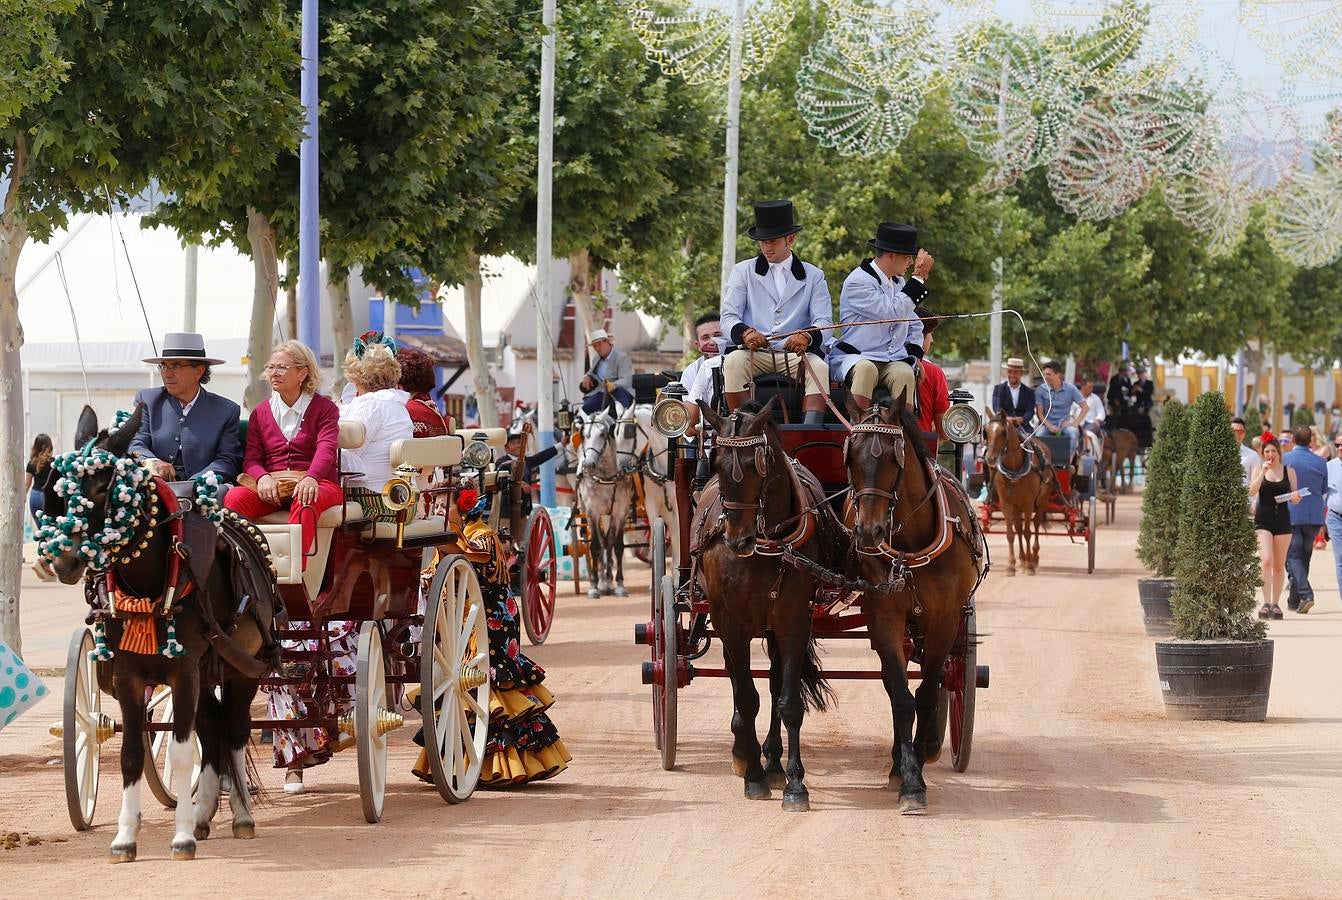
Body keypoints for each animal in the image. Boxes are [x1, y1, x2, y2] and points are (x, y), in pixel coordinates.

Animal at [577, 407, 638, 598]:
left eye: (603, 434)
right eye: (584, 435)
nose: (589, 464)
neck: (606, 478)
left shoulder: (620, 511)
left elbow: (617, 545)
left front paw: (619, 584)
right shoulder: (592, 511)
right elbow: (596, 546)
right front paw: (595, 586)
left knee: (609, 543)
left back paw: (609, 581)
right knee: (602, 544)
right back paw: (603, 582)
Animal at [697, 397, 842, 815]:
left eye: (758, 463)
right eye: (715, 461)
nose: (737, 540)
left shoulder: (792, 622)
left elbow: (788, 702)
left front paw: (794, 783)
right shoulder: (730, 625)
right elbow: (747, 699)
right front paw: (753, 776)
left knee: (777, 684)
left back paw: (774, 762)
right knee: (739, 684)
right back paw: (744, 756)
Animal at [848, 397, 987, 815]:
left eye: (894, 460)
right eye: (850, 458)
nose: (868, 533)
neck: (910, 546)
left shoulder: (944, 618)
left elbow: (926, 692)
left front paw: (922, 758)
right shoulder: (884, 616)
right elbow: (900, 694)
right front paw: (908, 777)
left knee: (942, 676)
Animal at [982, 413, 1052, 574]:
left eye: (1003, 432)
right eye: (986, 432)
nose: (990, 458)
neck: (1014, 470)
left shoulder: (1028, 504)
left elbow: (1028, 533)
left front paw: (1030, 566)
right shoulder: (1006, 504)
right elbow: (1011, 534)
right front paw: (1011, 565)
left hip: (1041, 501)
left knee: (1036, 524)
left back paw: (1033, 557)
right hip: (1016, 506)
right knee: (1019, 529)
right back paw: (1022, 559)